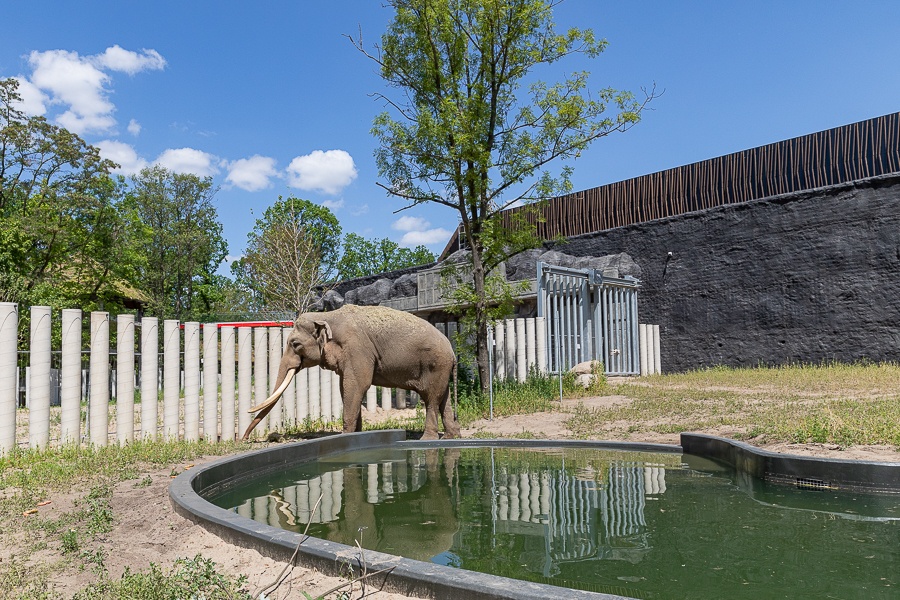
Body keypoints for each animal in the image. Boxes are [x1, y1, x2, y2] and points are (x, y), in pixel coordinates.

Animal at [243, 304, 460, 440]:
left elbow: (356, 385)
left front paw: (345, 436)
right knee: (444, 398)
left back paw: (428, 439)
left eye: (295, 344)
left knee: (431, 399)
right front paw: (357, 435)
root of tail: (452, 352)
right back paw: (451, 436)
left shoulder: (357, 349)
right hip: (442, 369)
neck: (327, 316)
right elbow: (346, 387)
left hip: (435, 366)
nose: (244, 439)